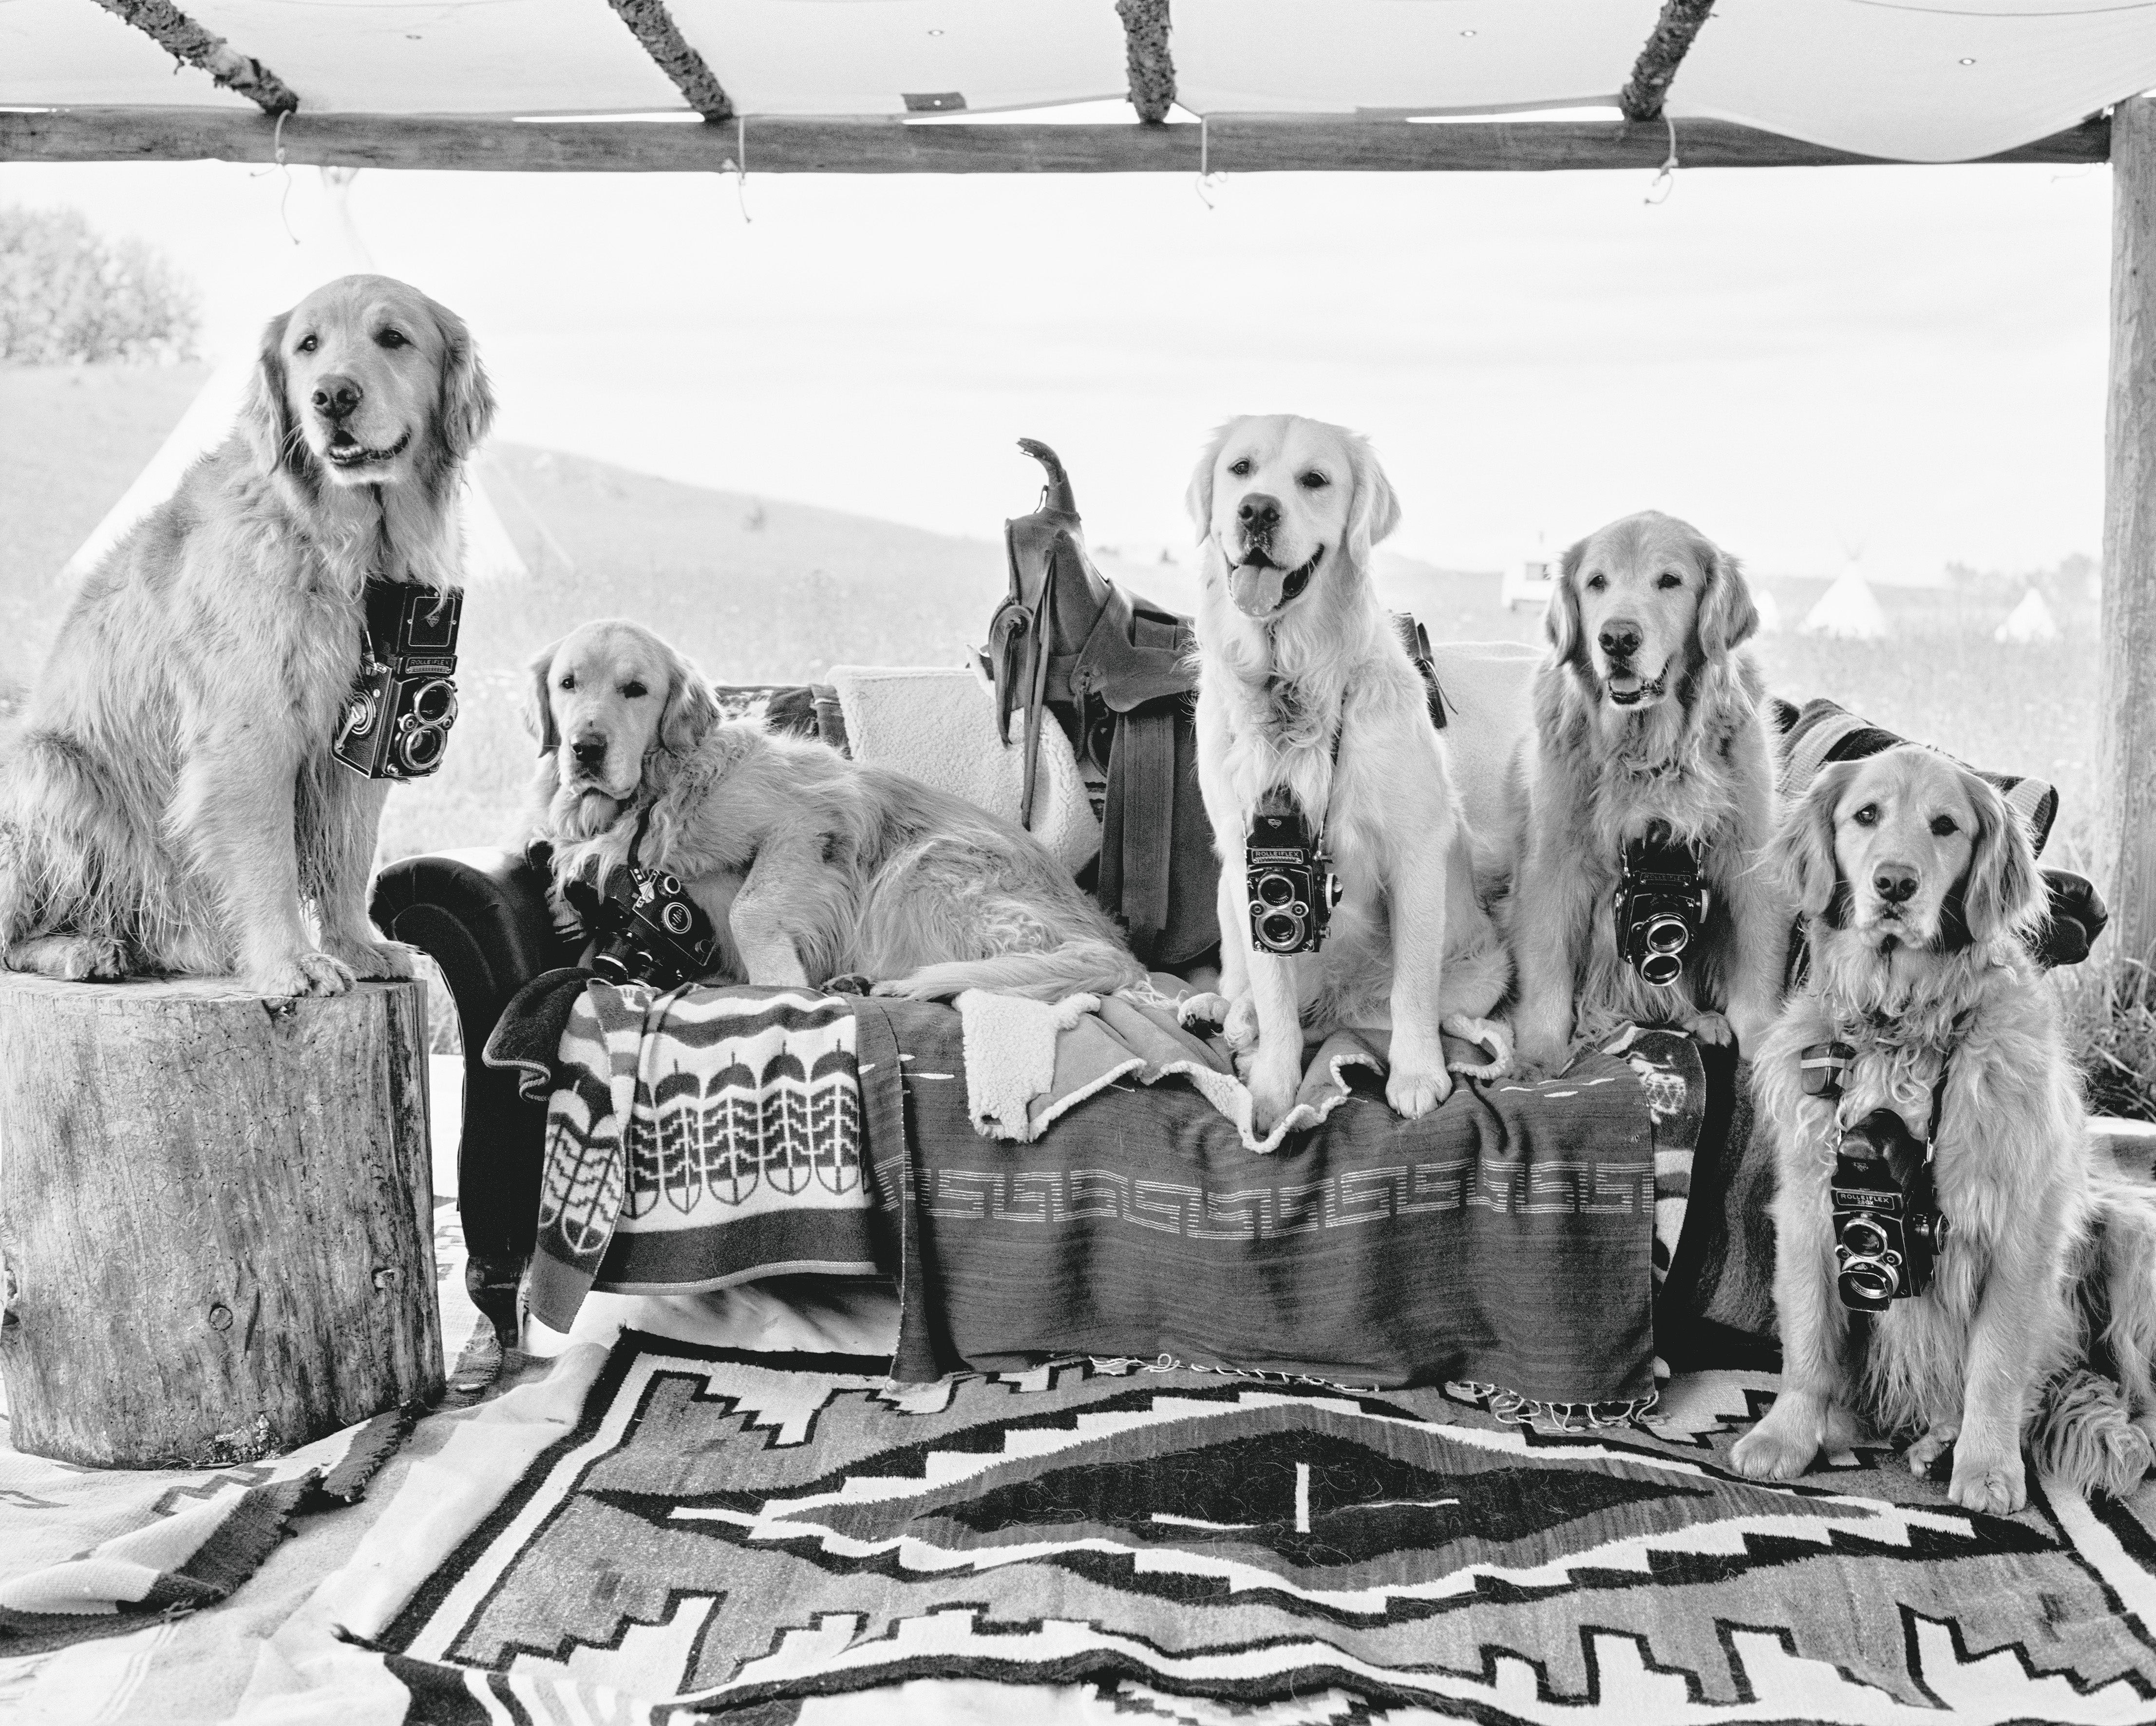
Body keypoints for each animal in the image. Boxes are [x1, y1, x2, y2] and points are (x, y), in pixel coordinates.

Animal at [0, 276, 489, 992]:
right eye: (307, 345)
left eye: (393, 337)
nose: (331, 396)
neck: (345, 550)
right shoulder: (249, 729)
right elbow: (268, 858)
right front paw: (292, 962)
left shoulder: (367, 737)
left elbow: (350, 854)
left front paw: (357, 947)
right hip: (54, 769)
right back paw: (79, 948)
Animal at [524, 617, 1147, 997]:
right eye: (568, 683)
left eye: (635, 689)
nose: (585, 749)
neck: (657, 794)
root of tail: (1111, 937)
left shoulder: (808, 820)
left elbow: (749, 909)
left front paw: (781, 985)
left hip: (921, 869)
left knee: (1069, 963)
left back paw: (906, 984)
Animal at [1173, 414, 1509, 1148]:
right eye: (1240, 469)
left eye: (1314, 480)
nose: (1256, 511)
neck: (1291, 678)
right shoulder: (1251, 867)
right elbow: (1273, 997)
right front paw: (1271, 1092)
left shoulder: (1415, 852)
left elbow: (1411, 986)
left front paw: (1416, 1075)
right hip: (1224, 893)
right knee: (1246, 984)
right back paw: (1223, 1008)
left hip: (1482, 970)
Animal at [1500, 509, 1785, 1065]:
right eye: (1597, 582)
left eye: (1669, 581)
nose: (1617, 638)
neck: (1649, 750)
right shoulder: (1553, 862)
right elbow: (1547, 968)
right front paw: (1541, 1059)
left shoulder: (1747, 856)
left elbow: (1758, 961)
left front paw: (1763, 1048)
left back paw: (1701, 1019)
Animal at [1724, 746, 2156, 1510]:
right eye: (1865, 814)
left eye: (1946, 826)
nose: (1894, 883)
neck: (1902, 1021)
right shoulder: (1809, 1207)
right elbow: (1807, 1339)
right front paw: (1786, 1435)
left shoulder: (2020, 1229)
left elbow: (1997, 1362)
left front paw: (1987, 1466)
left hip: (2132, 1236)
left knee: (2131, 1396)